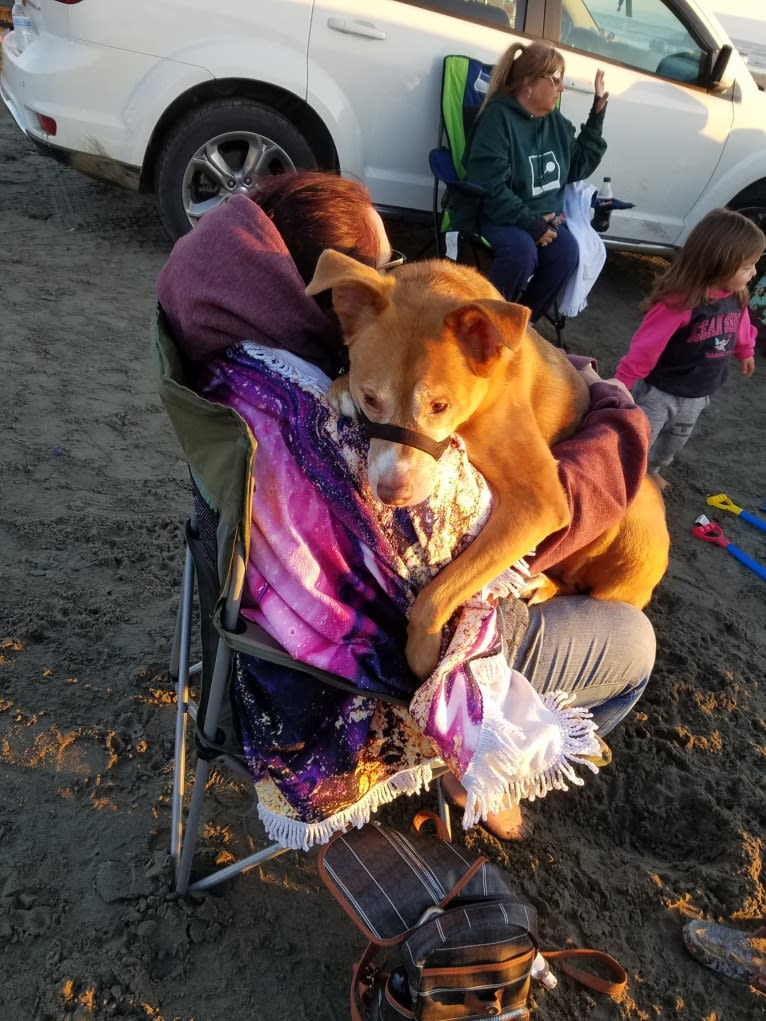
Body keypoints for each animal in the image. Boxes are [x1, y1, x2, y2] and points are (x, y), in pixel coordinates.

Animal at [308, 249, 669, 677]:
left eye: (439, 406)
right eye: (371, 398)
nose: (392, 493)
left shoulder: (541, 504)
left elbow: (443, 588)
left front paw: (427, 653)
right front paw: (341, 389)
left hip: (631, 517)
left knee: (587, 586)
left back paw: (542, 583)